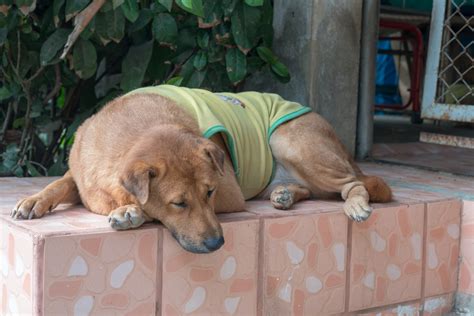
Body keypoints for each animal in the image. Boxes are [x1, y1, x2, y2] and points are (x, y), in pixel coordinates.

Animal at [11, 86, 390, 254]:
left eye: (210, 193)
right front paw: (32, 200)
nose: (217, 243)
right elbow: (60, 184)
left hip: (290, 141)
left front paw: (130, 212)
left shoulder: (231, 193)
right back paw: (285, 194)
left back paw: (357, 204)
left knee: (359, 183)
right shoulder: (80, 174)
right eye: (179, 203)